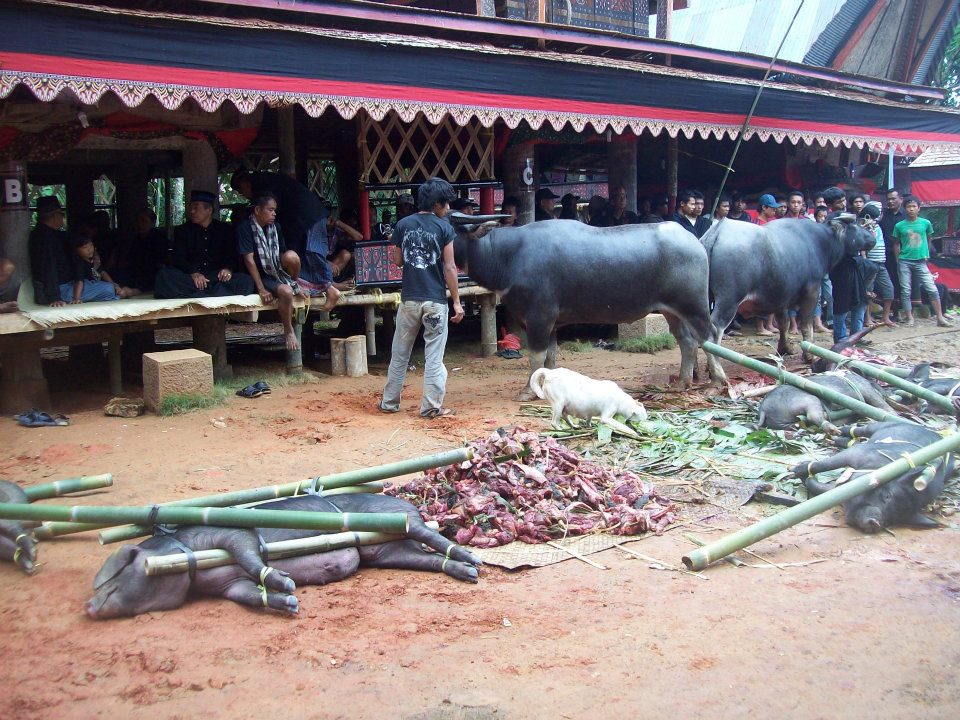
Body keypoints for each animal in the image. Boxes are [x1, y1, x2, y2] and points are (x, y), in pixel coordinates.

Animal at [85, 496, 480, 620]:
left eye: (116, 573)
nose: (88, 607)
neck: (186, 551)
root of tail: (406, 503)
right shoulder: (228, 585)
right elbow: (247, 593)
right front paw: (290, 603)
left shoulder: (233, 534)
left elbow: (250, 556)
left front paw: (286, 582)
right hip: (384, 551)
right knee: (423, 558)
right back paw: (467, 573)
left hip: (398, 520)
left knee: (430, 534)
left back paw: (472, 561)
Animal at [454, 215, 724, 394]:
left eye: (450, 224)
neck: (509, 256)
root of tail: (696, 242)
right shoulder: (551, 322)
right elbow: (550, 357)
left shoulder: (539, 317)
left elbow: (536, 357)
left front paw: (528, 391)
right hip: (672, 311)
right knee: (687, 342)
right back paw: (683, 382)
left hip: (694, 306)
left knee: (709, 337)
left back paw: (717, 380)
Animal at [700, 214, 872, 360]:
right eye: (856, 224)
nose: (872, 237)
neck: (821, 242)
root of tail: (716, 233)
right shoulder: (812, 291)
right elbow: (806, 325)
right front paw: (809, 356)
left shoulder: (780, 296)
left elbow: (784, 323)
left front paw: (785, 348)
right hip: (729, 299)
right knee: (715, 330)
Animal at [788, 420, 952, 532]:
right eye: (887, 495)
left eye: (893, 519)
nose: (876, 522)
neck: (880, 468)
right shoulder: (860, 454)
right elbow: (827, 464)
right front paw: (796, 470)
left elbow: (823, 489)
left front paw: (804, 477)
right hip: (883, 425)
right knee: (862, 430)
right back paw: (839, 432)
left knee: (852, 442)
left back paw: (837, 440)